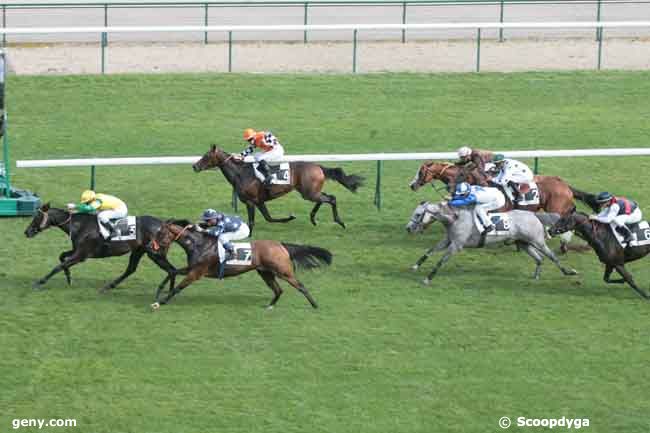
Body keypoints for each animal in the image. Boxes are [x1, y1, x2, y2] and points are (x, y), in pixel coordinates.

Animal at [24, 202, 177, 290]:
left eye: (36, 217)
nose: (27, 232)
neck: (80, 225)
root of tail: (164, 224)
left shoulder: (81, 255)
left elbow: (58, 266)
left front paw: (40, 282)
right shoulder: (77, 250)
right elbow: (62, 257)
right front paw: (68, 277)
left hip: (155, 254)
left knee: (172, 270)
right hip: (139, 251)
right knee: (131, 269)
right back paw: (110, 286)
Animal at [147, 221, 330, 308]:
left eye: (160, 233)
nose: (149, 246)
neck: (198, 244)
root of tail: (281, 245)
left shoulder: (196, 273)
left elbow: (178, 287)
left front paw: (160, 302)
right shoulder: (192, 268)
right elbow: (173, 272)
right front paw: (159, 292)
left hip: (283, 271)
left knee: (300, 286)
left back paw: (315, 305)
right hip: (265, 273)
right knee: (278, 290)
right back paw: (269, 306)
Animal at [192, 145, 364, 233]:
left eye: (206, 156)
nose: (195, 166)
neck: (242, 173)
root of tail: (318, 167)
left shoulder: (250, 202)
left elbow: (252, 222)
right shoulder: (259, 201)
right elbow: (269, 218)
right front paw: (289, 218)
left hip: (309, 193)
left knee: (331, 198)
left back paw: (339, 221)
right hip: (310, 192)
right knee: (325, 198)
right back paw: (313, 218)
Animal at [404, 202, 576, 284]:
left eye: (418, 214)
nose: (408, 228)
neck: (455, 218)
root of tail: (534, 215)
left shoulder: (456, 245)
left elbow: (440, 261)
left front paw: (428, 279)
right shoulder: (448, 241)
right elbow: (430, 250)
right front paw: (415, 266)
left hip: (538, 241)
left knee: (552, 257)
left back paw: (569, 272)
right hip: (524, 243)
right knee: (539, 259)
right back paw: (536, 276)